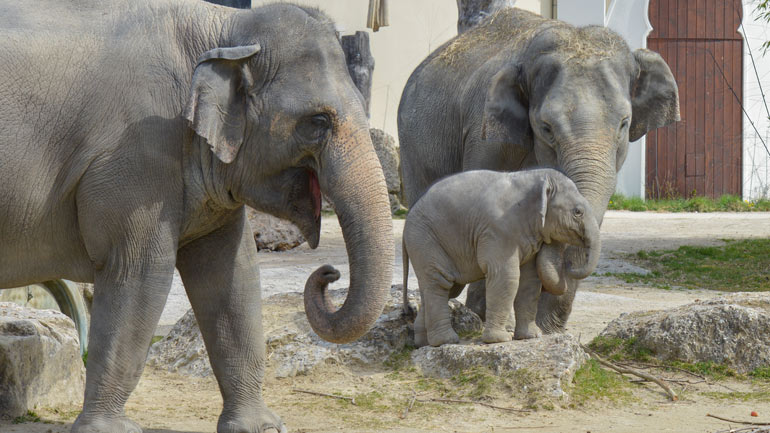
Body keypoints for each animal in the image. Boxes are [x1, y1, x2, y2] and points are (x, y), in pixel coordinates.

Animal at [0, 1, 390, 430]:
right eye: (318, 121)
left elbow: (232, 274)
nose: (328, 272)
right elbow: (139, 274)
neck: (226, 27)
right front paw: (110, 430)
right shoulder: (137, 155)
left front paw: (261, 427)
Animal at [402, 167, 600, 346]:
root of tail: (406, 222)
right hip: (424, 240)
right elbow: (507, 277)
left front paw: (532, 336)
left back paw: (423, 343)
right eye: (578, 212)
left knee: (443, 288)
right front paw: (500, 340)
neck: (537, 178)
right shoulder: (498, 231)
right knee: (440, 284)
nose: (570, 266)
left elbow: (530, 281)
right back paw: (446, 341)